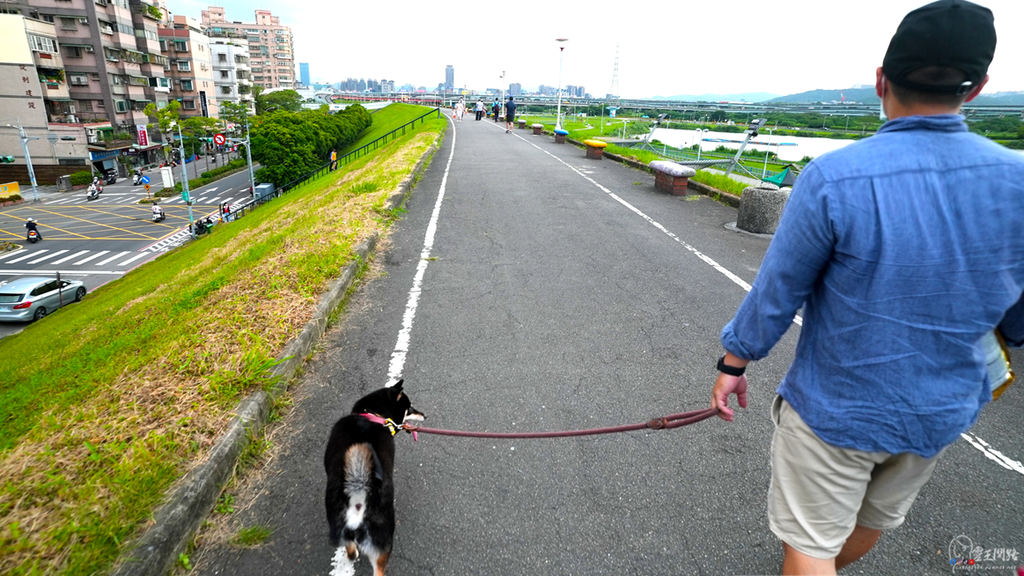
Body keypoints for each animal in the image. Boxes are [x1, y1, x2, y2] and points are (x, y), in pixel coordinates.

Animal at [325, 379, 425, 573]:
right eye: (409, 407)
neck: (372, 415)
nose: (425, 415)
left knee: (350, 550)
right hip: (383, 540)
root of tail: (358, 495)